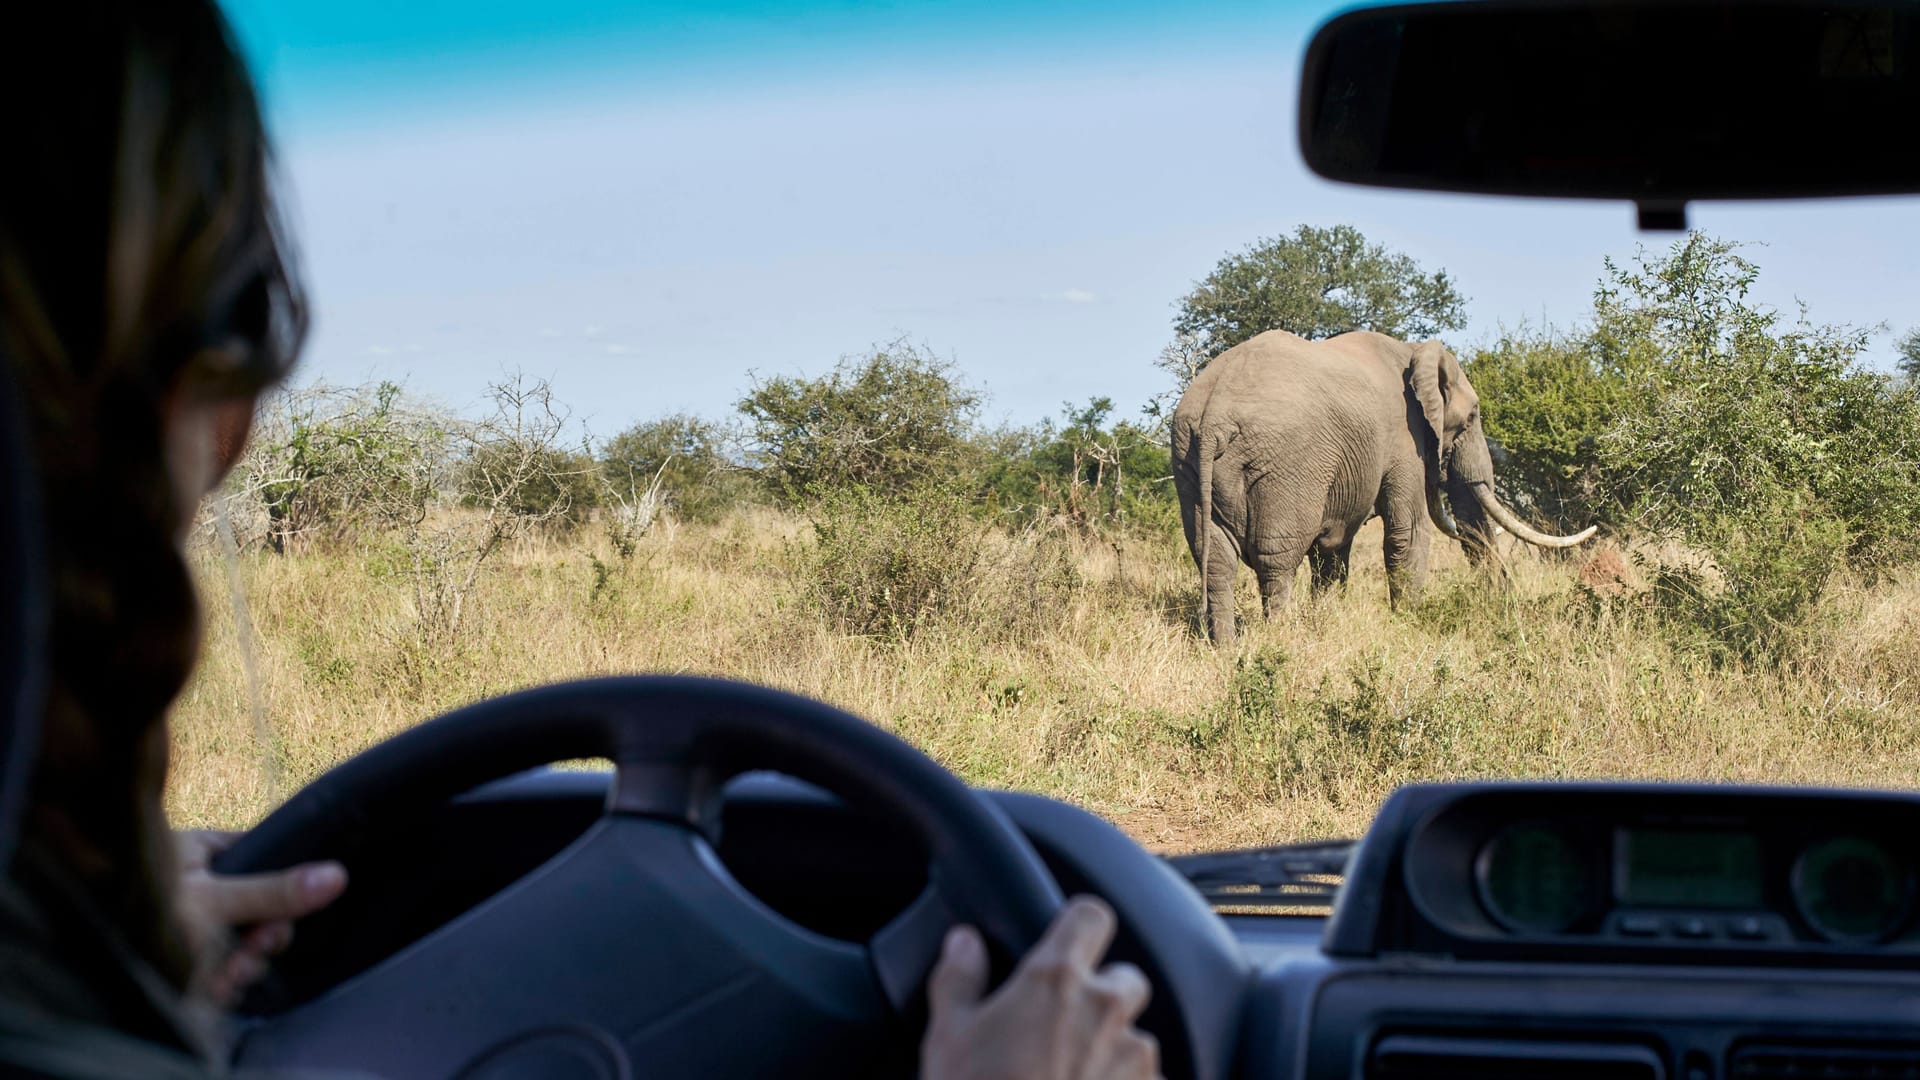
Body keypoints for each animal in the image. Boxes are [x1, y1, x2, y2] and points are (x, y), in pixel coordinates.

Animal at [1167, 328, 1589, 641]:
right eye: (1471, 418)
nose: (1503, 603)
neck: (1413, 353)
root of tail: (1215, 416)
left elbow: (1332, 548)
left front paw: (1330, 619)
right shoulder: (1404, 437)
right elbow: (1409, 531)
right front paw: (1409, 623)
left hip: (1188, 461)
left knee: (1215, 560)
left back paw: (1225, 647)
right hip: (1285, 467)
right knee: (1277, 560)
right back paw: (1279, 640)